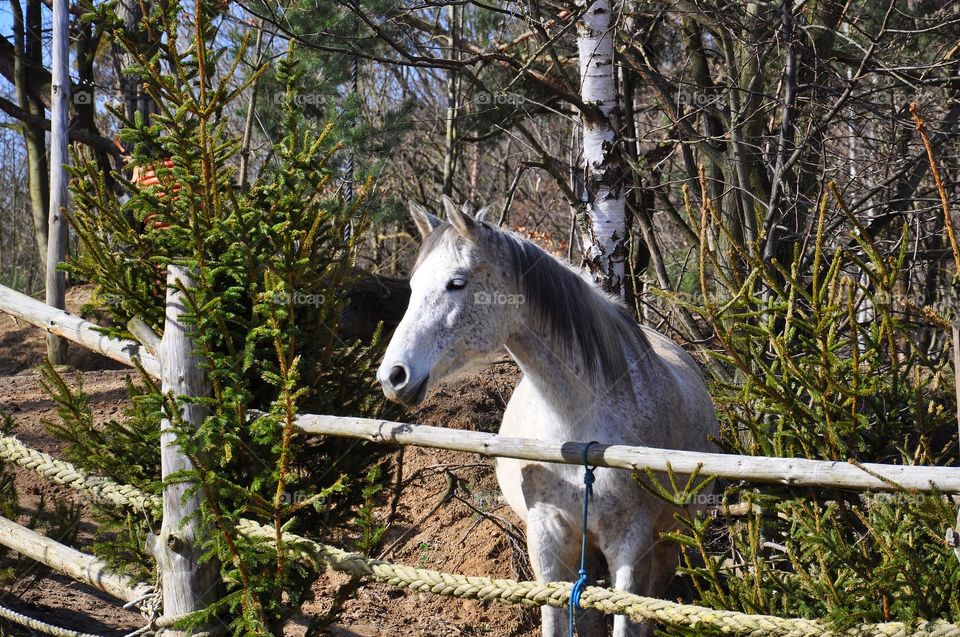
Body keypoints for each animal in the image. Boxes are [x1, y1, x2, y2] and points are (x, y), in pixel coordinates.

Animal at [378, 196, 716, 632]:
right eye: (413, 287)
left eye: (457, 282)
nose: (393, 375)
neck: (579, 433)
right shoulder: (547, 540)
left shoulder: (632, 545)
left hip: (668, 540)